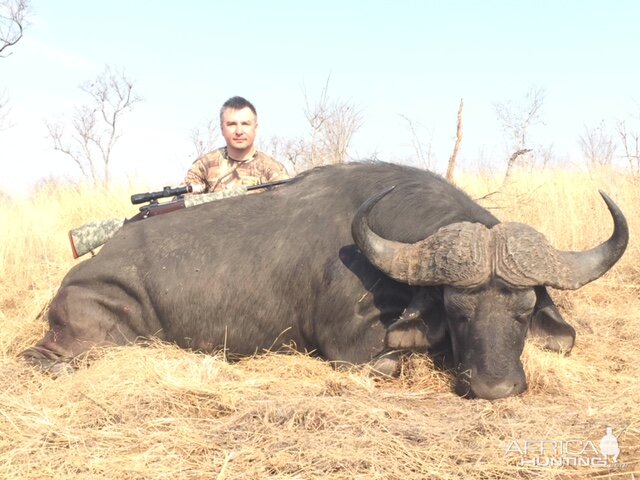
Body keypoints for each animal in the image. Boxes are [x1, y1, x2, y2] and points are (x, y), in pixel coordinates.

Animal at [21, 163, 632, 400]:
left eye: (524, 311)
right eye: (457, 310)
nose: (494, 388)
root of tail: (74, 281)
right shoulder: (353, 346)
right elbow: (391, 360)